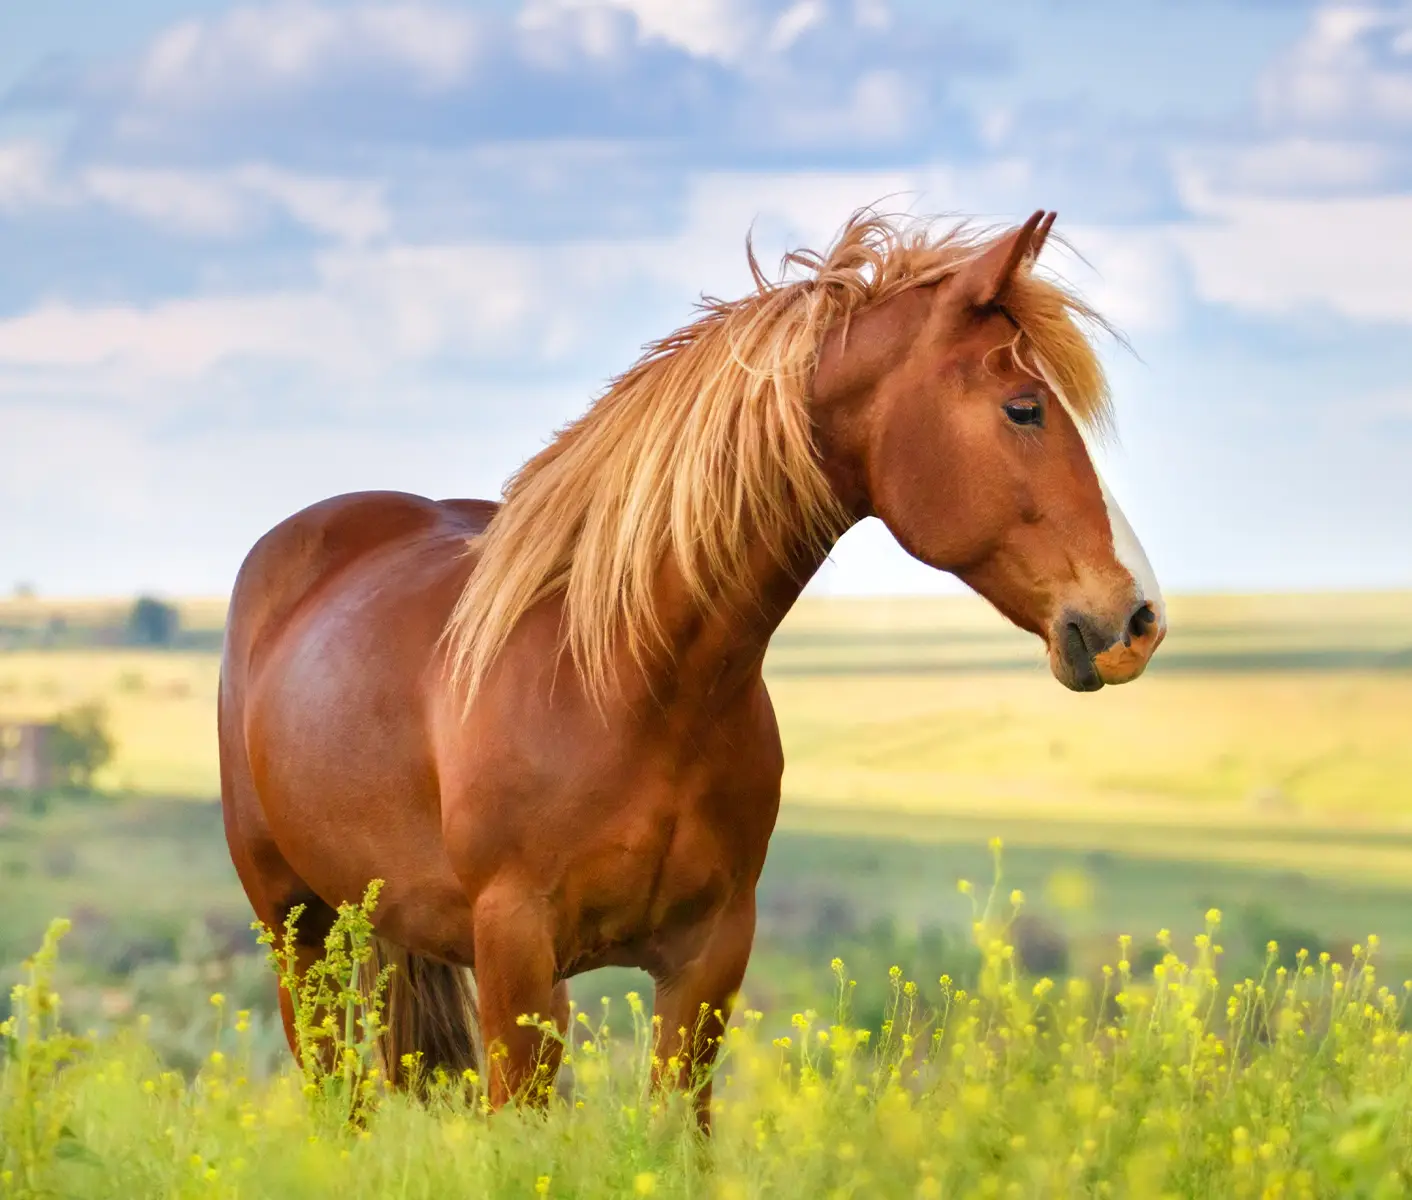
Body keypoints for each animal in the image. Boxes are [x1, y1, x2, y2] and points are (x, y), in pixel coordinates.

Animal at [220, 210, 1163, 1129]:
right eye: (1024, 409)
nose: (1138, 618)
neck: (628, 685)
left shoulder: (708, 959)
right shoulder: (516, 959)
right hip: (296, 933)